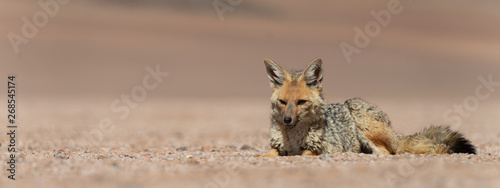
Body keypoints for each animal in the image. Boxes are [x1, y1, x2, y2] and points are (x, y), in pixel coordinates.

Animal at [262, 58, 476, 156]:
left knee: (387, 152)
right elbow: (268, 153)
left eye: (301, 102)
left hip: (357, 112)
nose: (287, 120)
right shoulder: (277, 147)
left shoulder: (324, 148)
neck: (293, 138)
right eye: (282, 102)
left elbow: (306, 153)